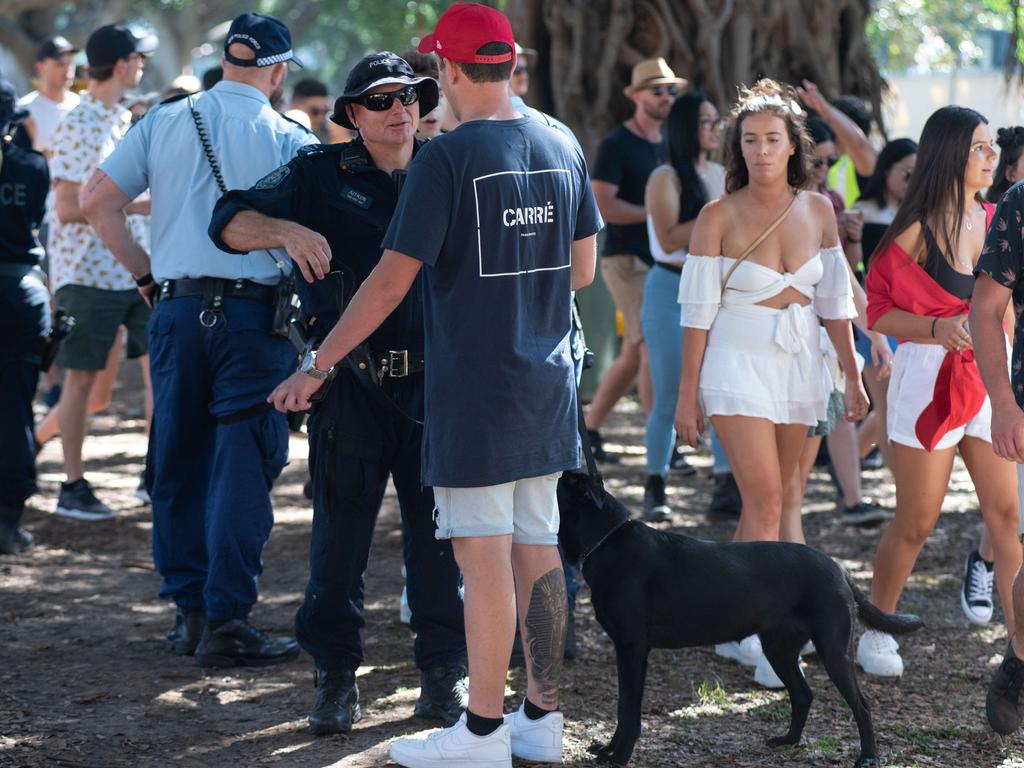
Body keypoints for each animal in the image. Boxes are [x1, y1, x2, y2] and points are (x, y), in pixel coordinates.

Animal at [557, 468, 925, 768]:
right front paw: (608, 750)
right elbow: (623, 706)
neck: (607, 540)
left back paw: (868, 757)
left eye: (567, 483)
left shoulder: (633, 648)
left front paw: (619, 756)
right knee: (803, 694)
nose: (562, 469)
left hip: (833, 650)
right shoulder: (626, 649)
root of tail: (839, 569)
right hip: (779, 649)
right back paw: (788, 741)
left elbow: (629, 709)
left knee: (861, 704)